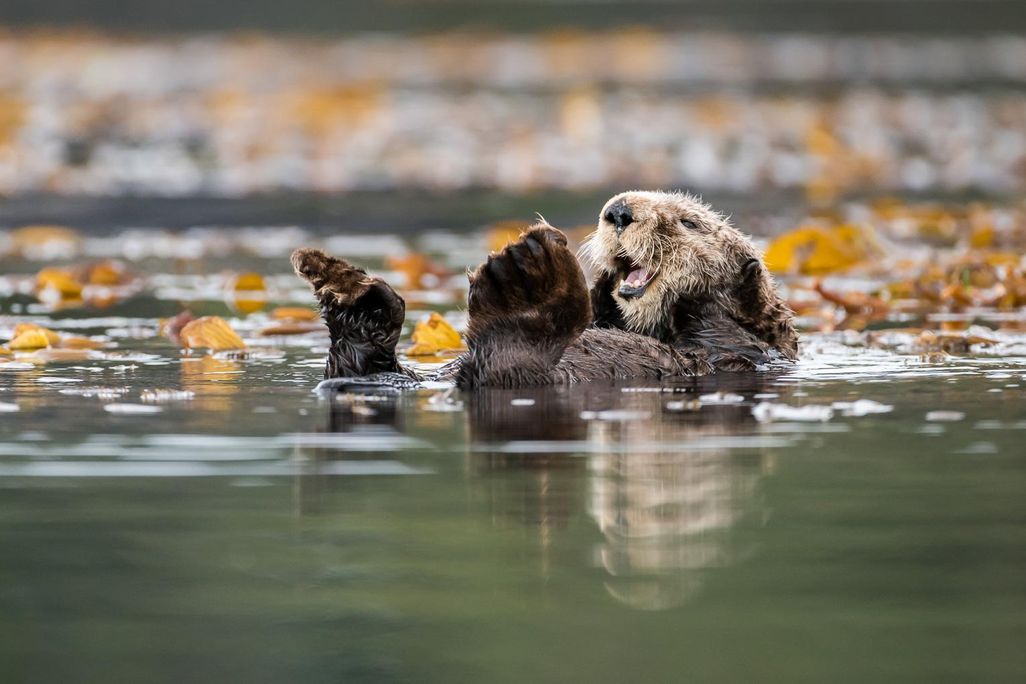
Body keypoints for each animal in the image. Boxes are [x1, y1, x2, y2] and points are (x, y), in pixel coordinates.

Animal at [291, 190, 798, 388]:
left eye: (690, 222)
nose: (618, 211)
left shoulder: (741, 348)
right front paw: (604, 286)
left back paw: (523, 278)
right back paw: (347, 288)